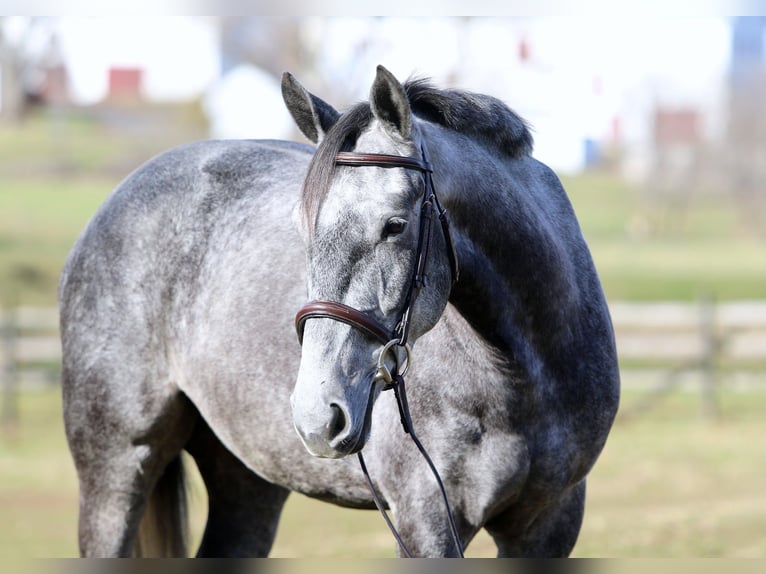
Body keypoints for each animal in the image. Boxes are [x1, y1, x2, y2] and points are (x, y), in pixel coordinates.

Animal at [59, 65, 620, 558]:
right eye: (303, 228)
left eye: (394, 226)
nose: (316, 416)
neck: (518, 378)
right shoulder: (427, 523)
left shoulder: (550, 523)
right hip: (116, 468)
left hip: (246, 479)